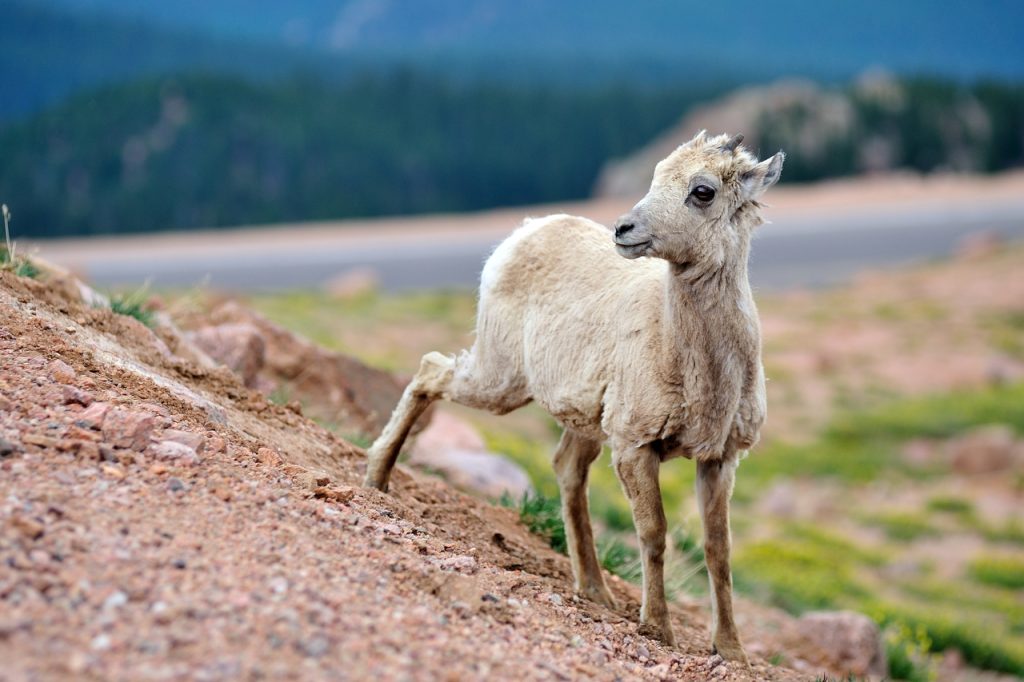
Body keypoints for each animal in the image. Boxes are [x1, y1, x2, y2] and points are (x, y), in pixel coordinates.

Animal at [363, 130, 784, 664]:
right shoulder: (634, 446)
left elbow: (718, 550)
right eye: (656, 176)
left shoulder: (719, 459)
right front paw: (657, 628)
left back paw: (595, 591)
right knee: (431, 370)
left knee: (566, 469)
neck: (691, 362)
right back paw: (376, 478)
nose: (624, 229)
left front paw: (731, 650)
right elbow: (654, 534)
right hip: (500, 381)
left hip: (580, 419)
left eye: (702, 191)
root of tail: (523, 234)